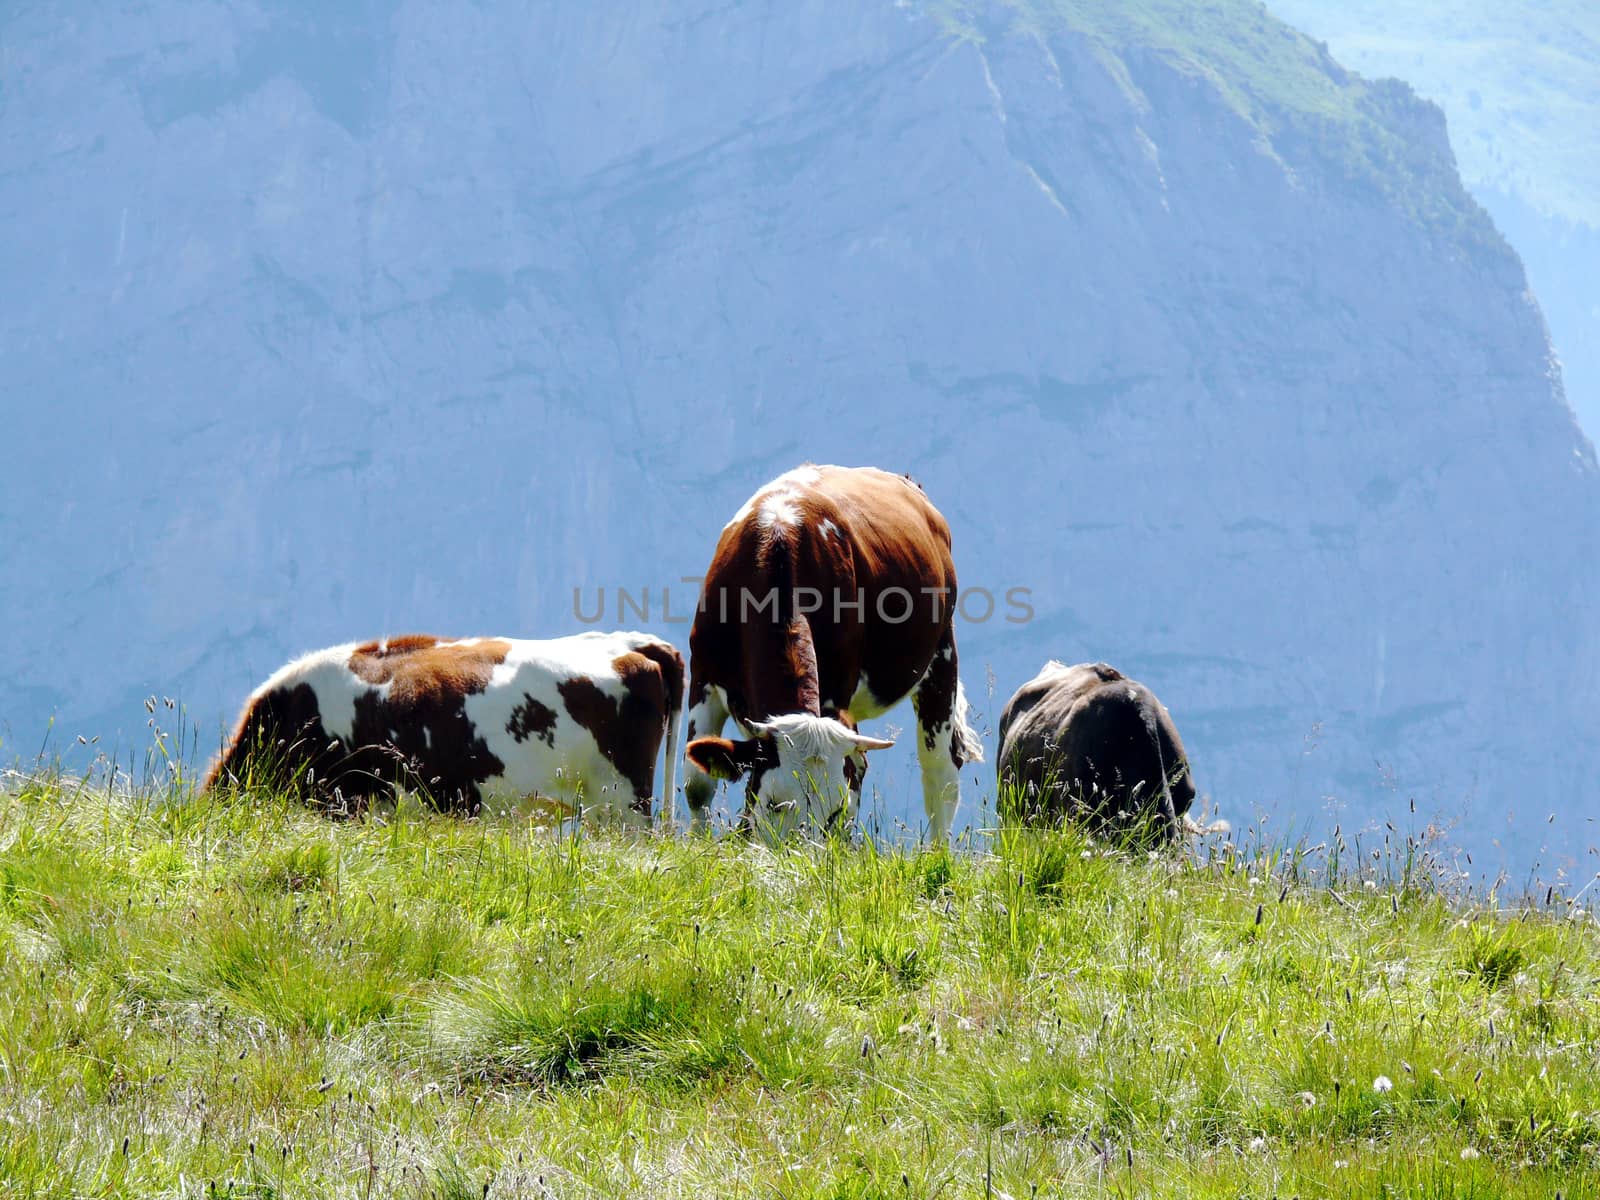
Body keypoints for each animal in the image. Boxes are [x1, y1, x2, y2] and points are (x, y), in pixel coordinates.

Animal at [681, 464, 979, 838]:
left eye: (832, 811)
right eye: (774, 803)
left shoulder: (836, 689)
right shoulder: (703, 671)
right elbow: (697, 784)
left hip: (941, 653)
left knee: (940, 773)